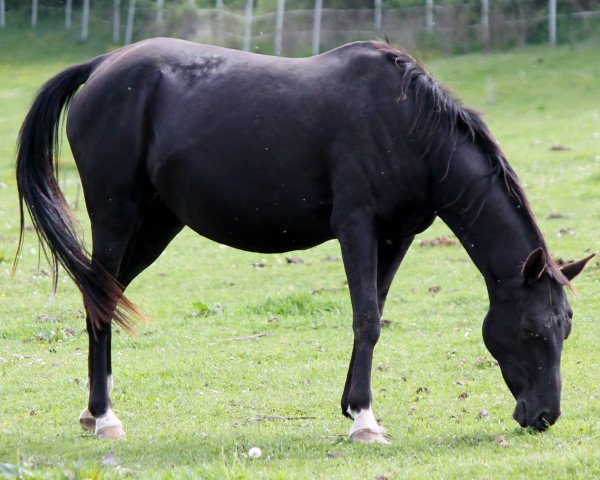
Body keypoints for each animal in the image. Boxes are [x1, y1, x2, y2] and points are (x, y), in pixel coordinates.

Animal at [16, 38, 592, 442]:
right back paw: (105, 417)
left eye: (564, 328)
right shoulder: (356, 226)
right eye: (532, 330)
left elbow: (376, 312)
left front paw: (352, 405)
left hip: (157, 224)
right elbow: (365, 316)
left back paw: (93, 410)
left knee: (104, 295)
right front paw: (364, 421)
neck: (407, 125)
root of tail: (100, 66)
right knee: (99, 300)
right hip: (116, 216)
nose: (545, 416)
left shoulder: (398, 236)